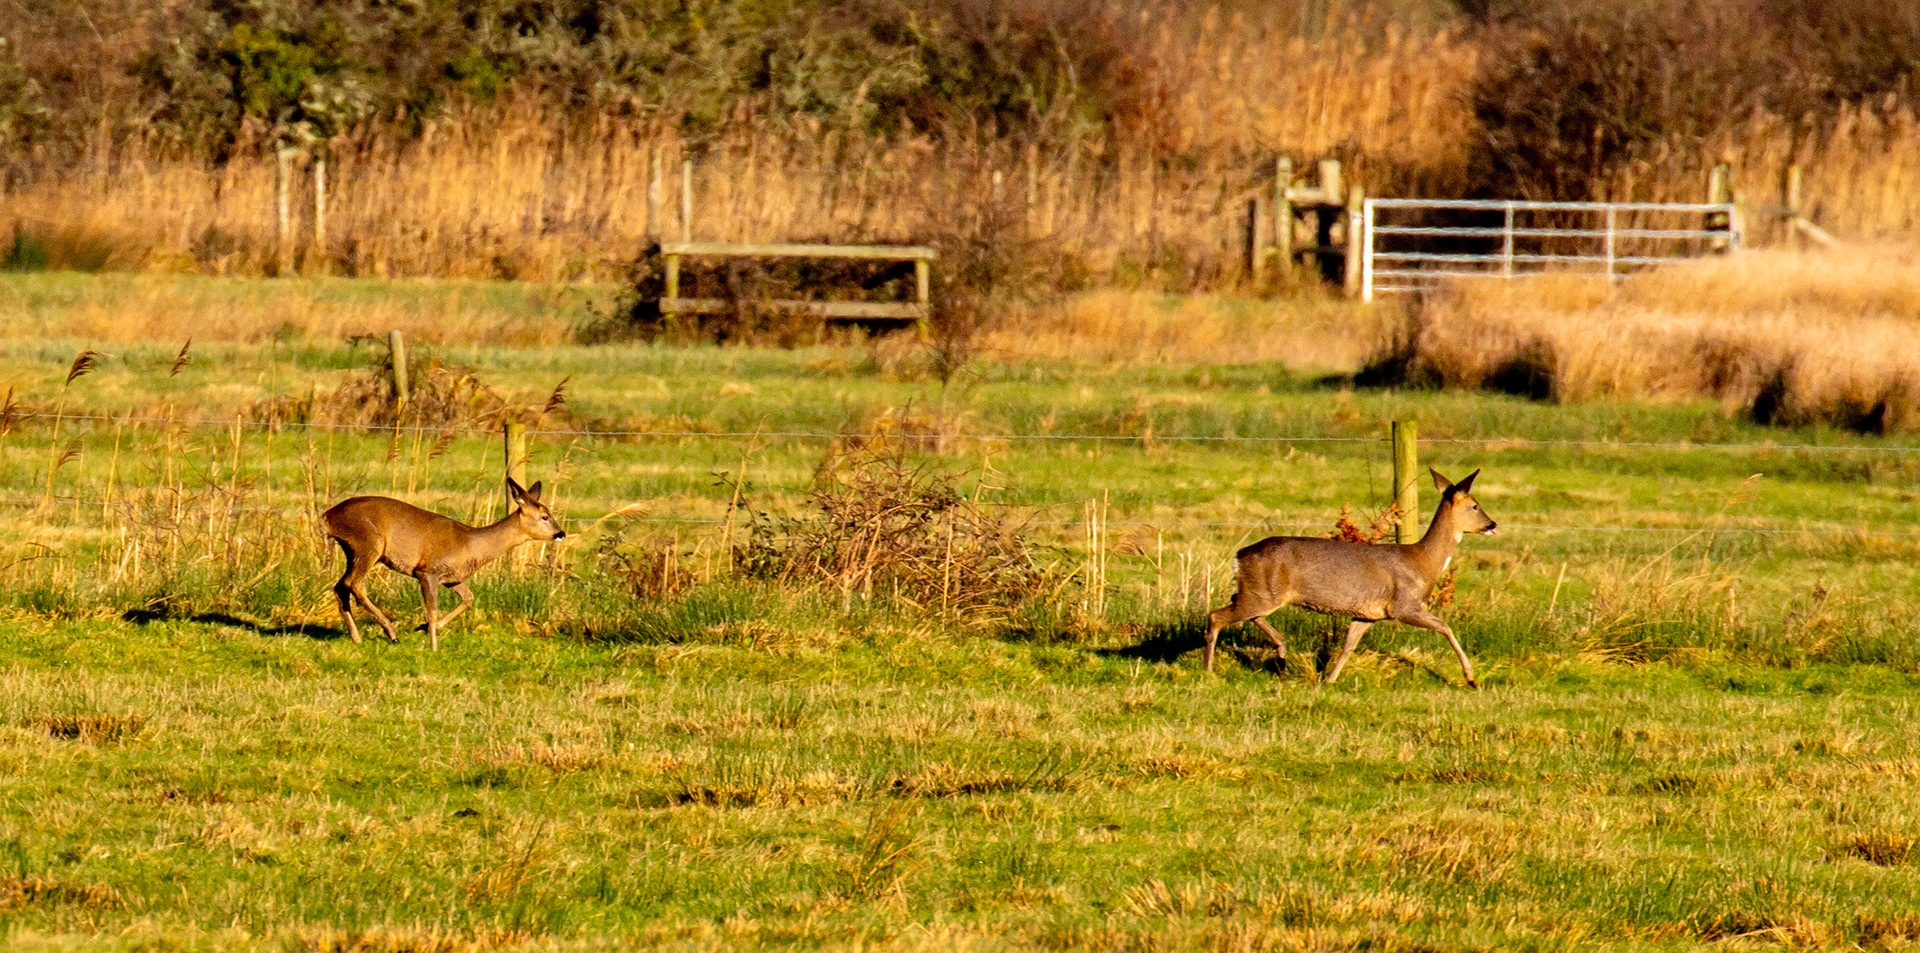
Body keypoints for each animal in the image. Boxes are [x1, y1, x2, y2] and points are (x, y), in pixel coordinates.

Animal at [322, 478, 566, 650]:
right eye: (545, 516)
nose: (561, 533)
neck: (471, 545)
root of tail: (327, 515)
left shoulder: (452, 578)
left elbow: (468, 599)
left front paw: (424, 628)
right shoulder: (427, 571)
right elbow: (432, 609)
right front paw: (433, 646)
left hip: (352, 549)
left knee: (340, 586)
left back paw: (357, 637)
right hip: (369, 542)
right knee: (354, 584)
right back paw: (391, 633)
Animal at [1202, 468, 1497, 688]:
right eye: (1475, 506)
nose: (1492, 524)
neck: (1423, 562)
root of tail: (1239, 556)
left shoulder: (1368, 613)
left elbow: (1348, 645)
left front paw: (1329, 680)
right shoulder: (1404, 604)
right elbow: (1445, 626)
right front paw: (1471, 678)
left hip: (1261, 592)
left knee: (1246, 612)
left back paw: (1281, 654)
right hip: (1262, 592)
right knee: (1216, 616)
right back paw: (1208, 670)